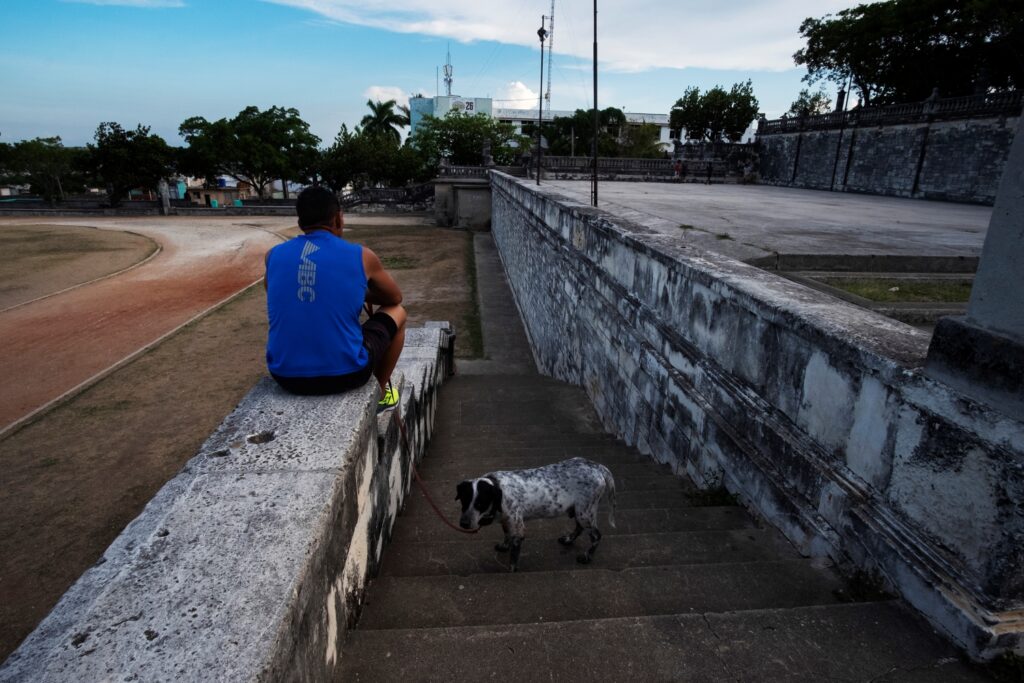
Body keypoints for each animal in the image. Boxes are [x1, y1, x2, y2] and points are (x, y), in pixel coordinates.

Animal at [456, 458, 614, 573]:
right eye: (464, 500)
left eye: (480, 503)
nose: (463, 523)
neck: (499, 488)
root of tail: (598, 467)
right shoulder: (506, 520)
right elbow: (506, 534)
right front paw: (504, 545)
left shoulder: (518, 527)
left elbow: (514, 553)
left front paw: (512, 569)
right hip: (579, 510)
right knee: (579, 528)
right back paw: (568, 540)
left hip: (584, 512)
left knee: (596, 535)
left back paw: (587, 557)